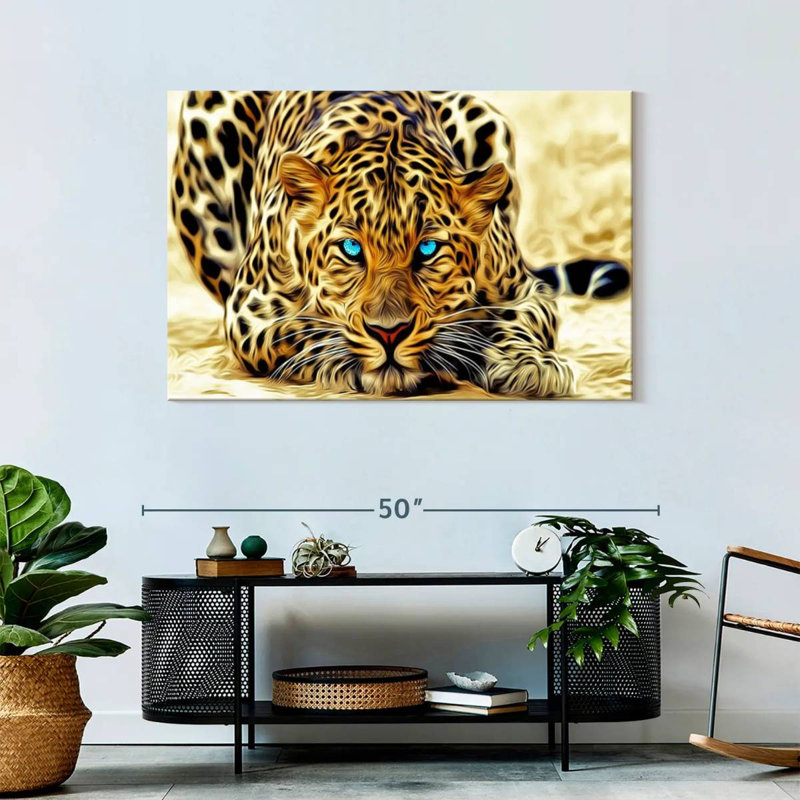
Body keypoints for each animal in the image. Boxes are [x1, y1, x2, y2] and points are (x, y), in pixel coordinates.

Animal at [170, 91, 629, 398]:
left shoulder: (526, 290)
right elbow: (302, 329)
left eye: (427, 250)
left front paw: (529, 363)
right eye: (351, 250)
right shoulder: (249, 309)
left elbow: (520, 320)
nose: (388, 333)